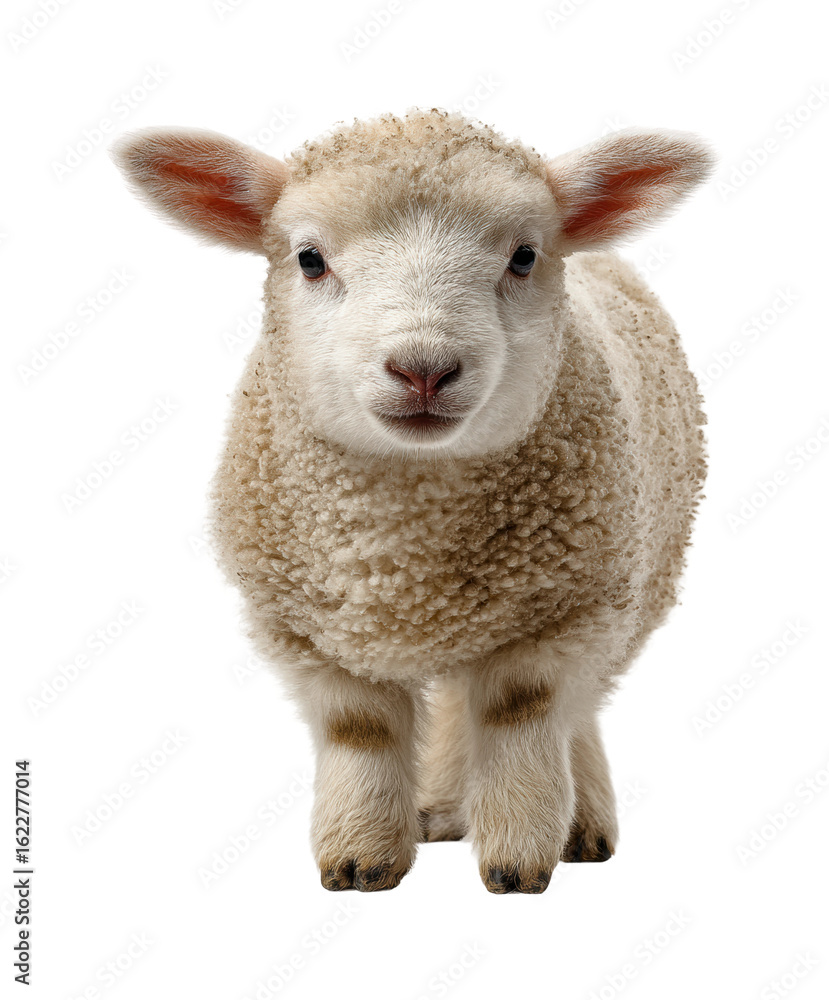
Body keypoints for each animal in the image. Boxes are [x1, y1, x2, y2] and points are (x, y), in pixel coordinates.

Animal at [112, 109, 714, 894]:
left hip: (633, 585)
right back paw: (436, 810)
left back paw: (572, 823)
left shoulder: (563, 614)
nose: (423, 369)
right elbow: (359, 729)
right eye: (309, 259)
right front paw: (359, 858)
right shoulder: (307, 631)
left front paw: (518, 858)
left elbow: (523, 714)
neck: (406, 548)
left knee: (571, 709)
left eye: (524, 256)